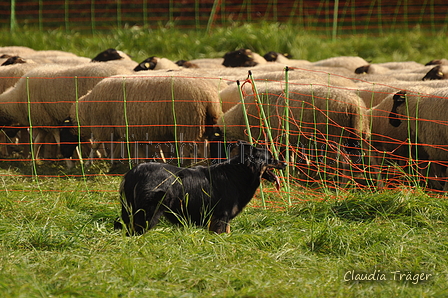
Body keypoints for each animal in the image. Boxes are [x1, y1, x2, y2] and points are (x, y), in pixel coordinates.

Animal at [68, 74, 224, 166]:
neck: (88, 107)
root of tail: (209, 97)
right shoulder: (135, 131)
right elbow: (138, 148)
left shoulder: (103, 126)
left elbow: (96, 145)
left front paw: (88, 163)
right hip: (204, 123)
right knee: (204, 143)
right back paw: (203, 162)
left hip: (188, 124)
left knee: (192, 146)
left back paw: (189, 163)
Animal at [114, 143, 284, 235]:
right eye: (271, 158)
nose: (285, 163)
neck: (240, 172)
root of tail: (132, 173)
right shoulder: (221, 216)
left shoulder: (223, 218)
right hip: (149, 212)